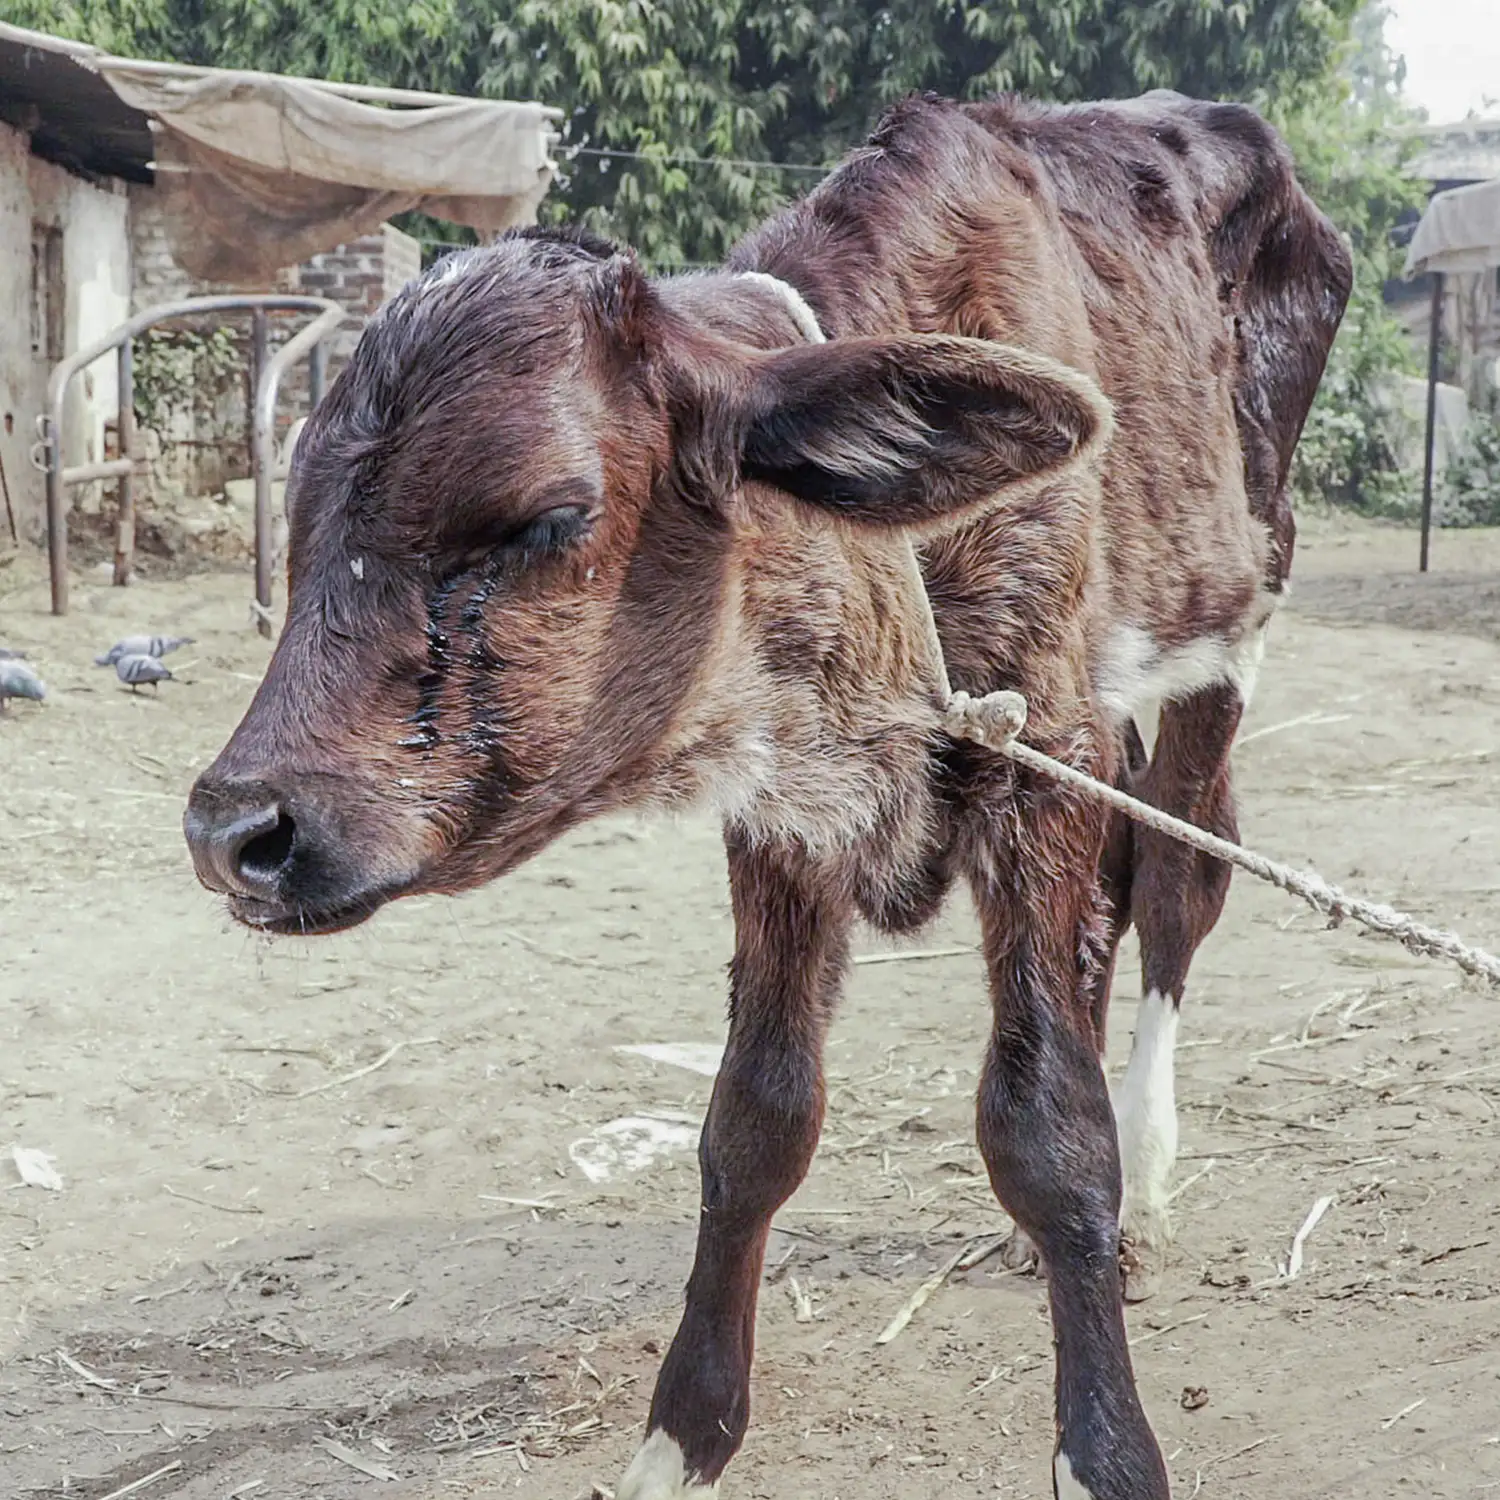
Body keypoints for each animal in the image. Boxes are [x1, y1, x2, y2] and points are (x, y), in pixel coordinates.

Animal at [184, 90, 1350, 1500]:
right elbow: (754, 1121)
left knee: (1181, 882)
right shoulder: (790, 810)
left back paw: (1157, 1166)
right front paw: (679, 1439)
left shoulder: (1041, 756)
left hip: (1235, 618)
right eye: (297, 528)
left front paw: (1107, 1452)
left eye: (544, 520)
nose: (234, 829)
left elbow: (1048, 1128)